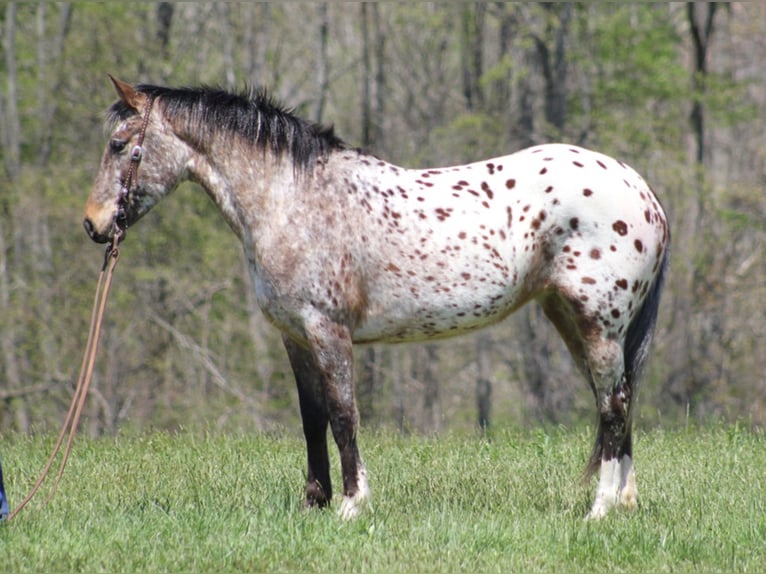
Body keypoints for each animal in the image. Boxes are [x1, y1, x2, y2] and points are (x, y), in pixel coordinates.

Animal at [85, 77, 672, 520]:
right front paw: (315, 504)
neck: (293, 199)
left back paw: (600, 509)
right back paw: (624, 501)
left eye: (119, 144)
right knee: (616, 402)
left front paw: (352, 504)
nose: (93, 225)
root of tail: (641, 190)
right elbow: (313, 419)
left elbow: (344, 414)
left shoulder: (327, 330)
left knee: (613, 406)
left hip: (597, 325)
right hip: (571, 320)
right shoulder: (296, 338)